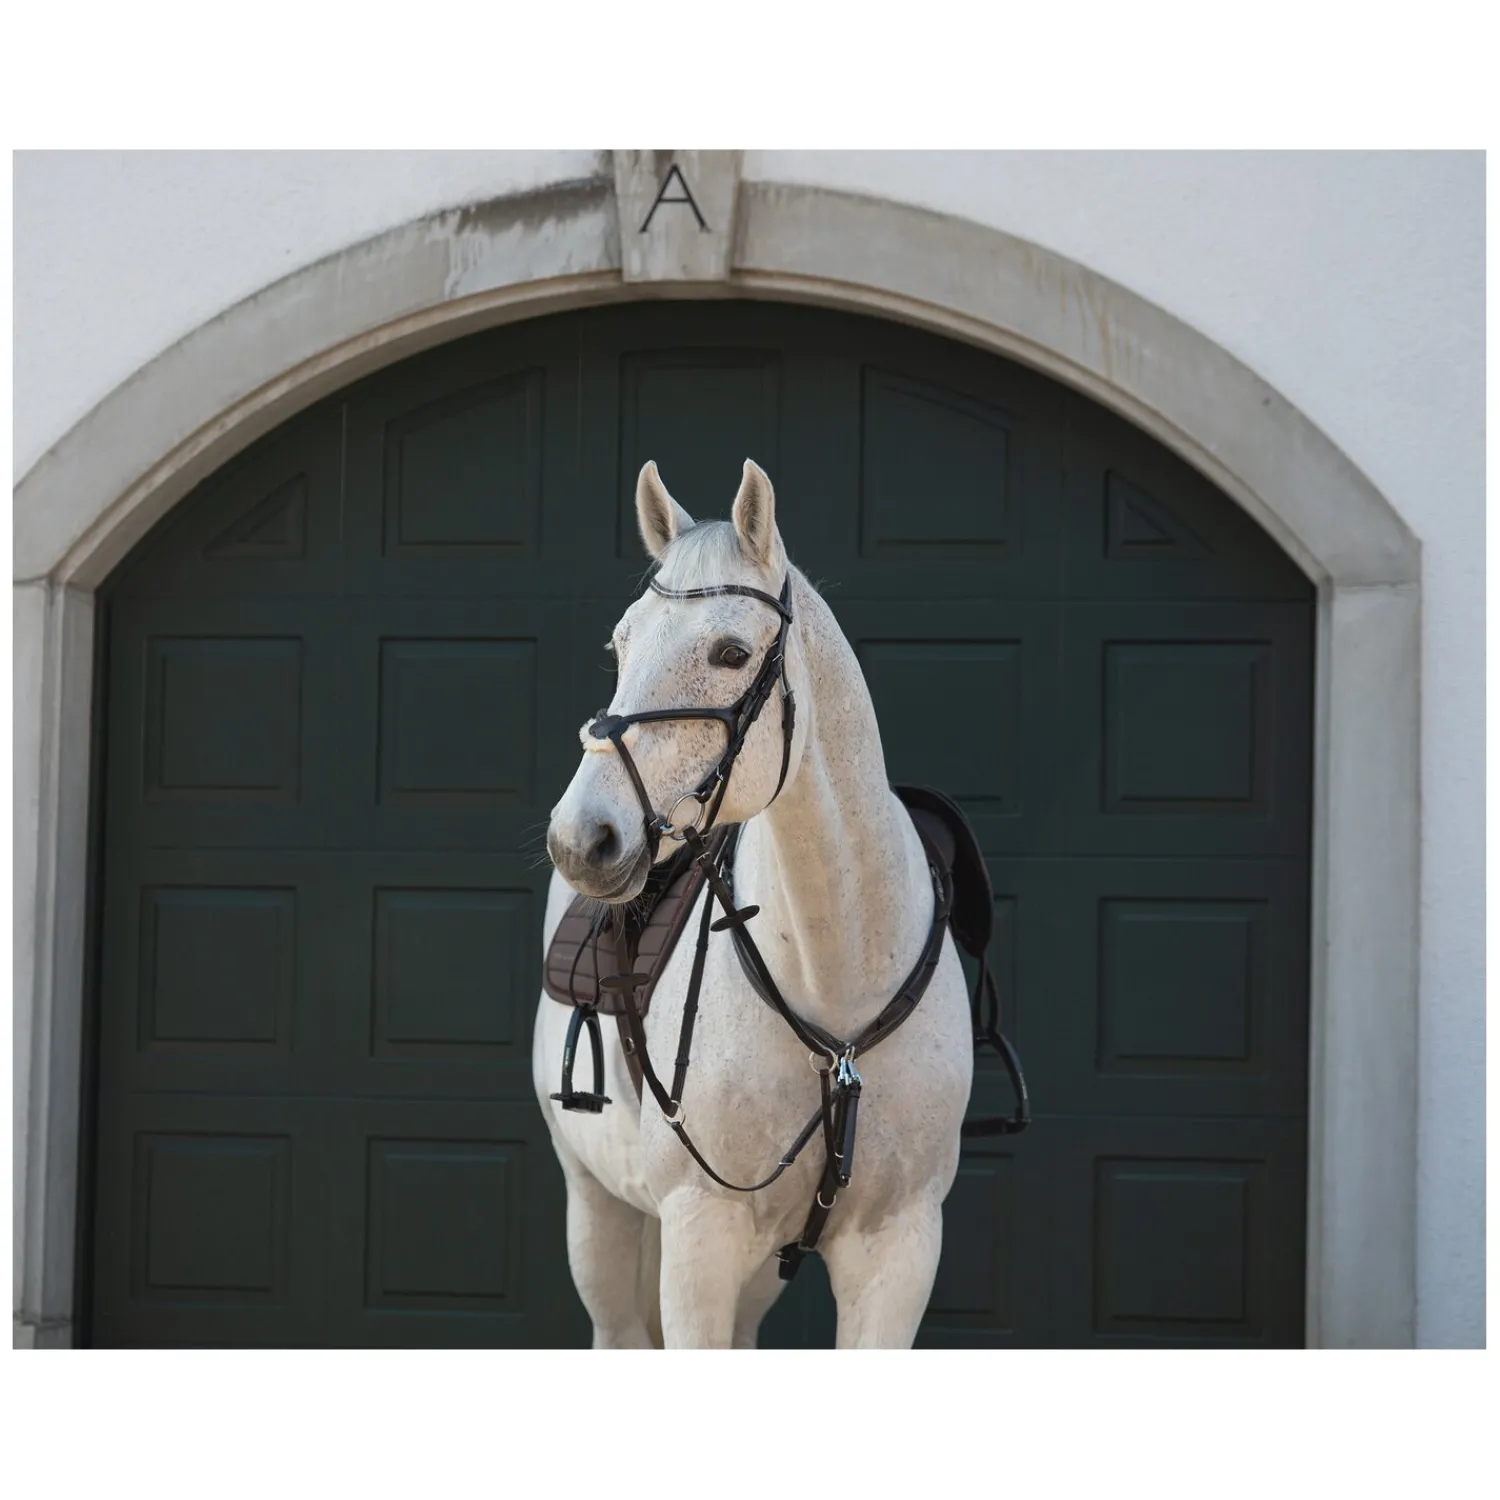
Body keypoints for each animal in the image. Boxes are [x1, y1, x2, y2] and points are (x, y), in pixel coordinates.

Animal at [534, 458, 973, 1349]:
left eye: (732, 652)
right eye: (620, 644)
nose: (581, 837)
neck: (838, 978)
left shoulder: (900, 1250)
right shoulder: (700, 1236)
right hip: (597, 1207)